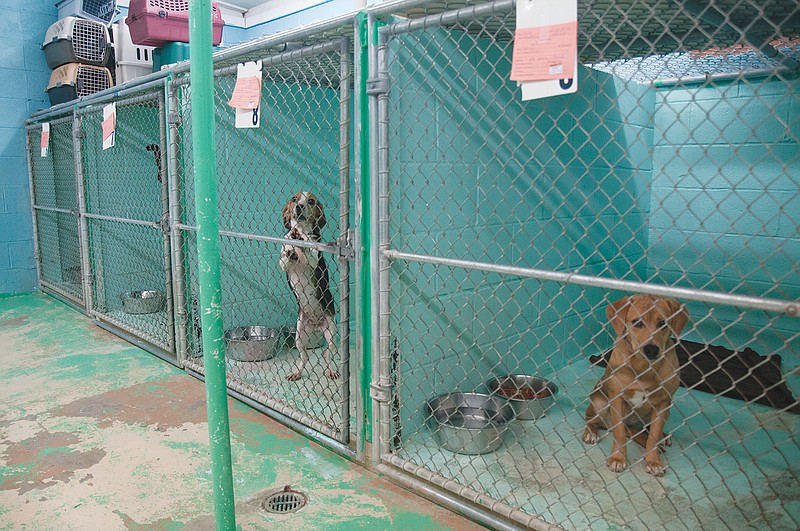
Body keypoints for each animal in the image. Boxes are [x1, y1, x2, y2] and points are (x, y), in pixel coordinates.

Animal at [580, 296, 688, 478]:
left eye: (663, 323)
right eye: (637, 322)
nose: (651, 349)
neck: (643, 367)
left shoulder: (663, 402)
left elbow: (653, 436)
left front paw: (653, 462)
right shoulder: (617, 398)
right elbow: (619, 433)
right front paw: (618, 458)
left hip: (666, 410)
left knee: (642, 430)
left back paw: (662, 436)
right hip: (600, 403)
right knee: (594, 421)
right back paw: (591, 433)